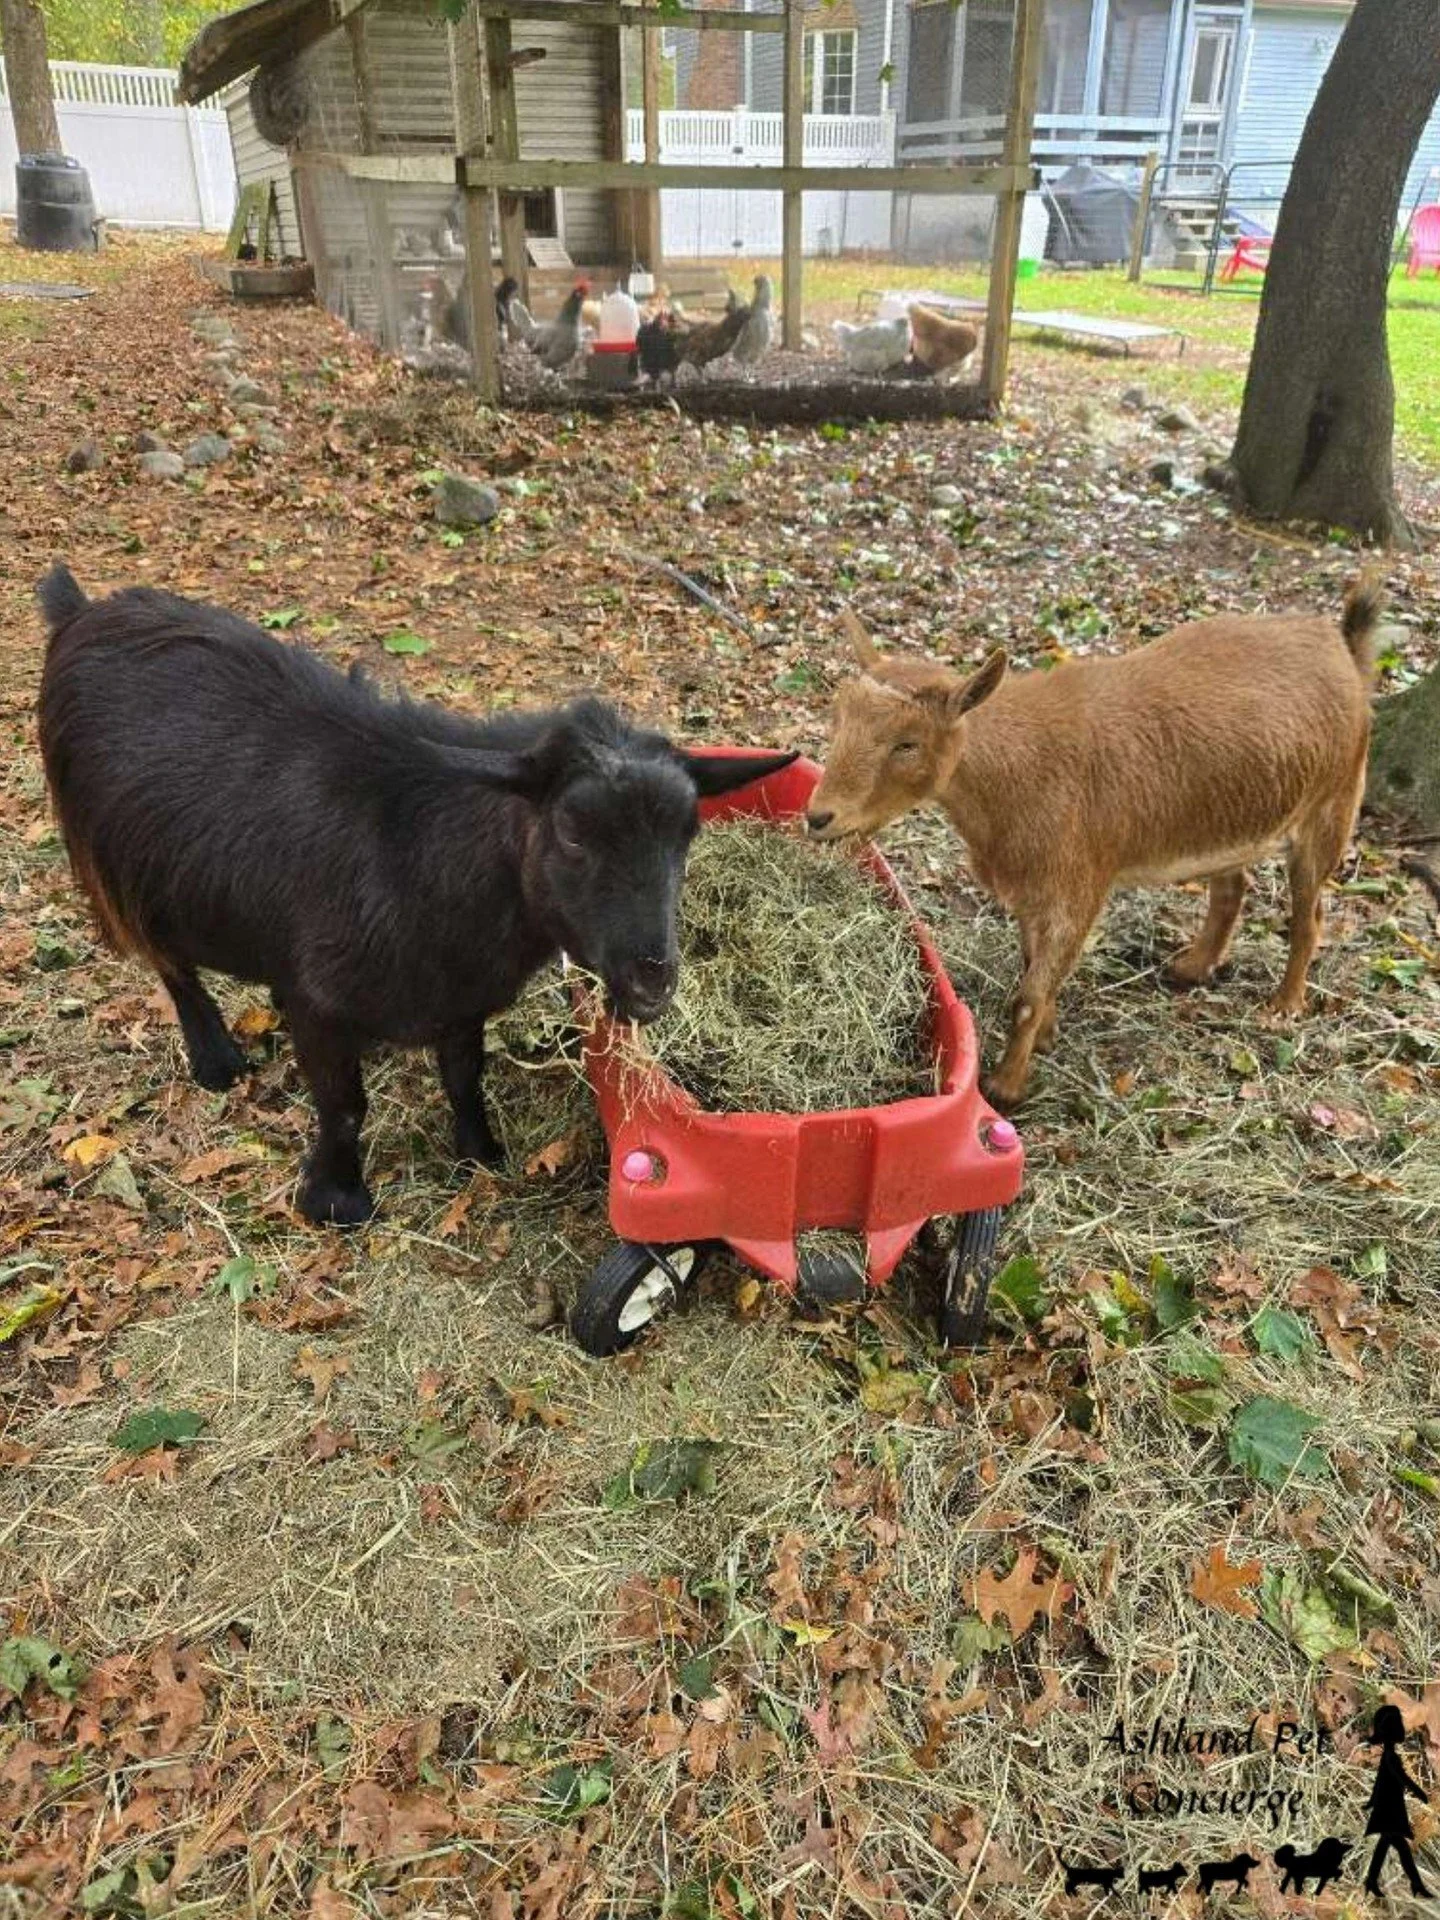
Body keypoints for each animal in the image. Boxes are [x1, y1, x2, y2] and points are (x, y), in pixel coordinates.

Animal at [37, 567, 794, 1225]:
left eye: (687, 833)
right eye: (573, 833)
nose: (651, 982)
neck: (422, 854)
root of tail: (82, 608)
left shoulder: (457, 997)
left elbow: (464, 1076)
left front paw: (480, 1155)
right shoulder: (320, 1003)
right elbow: (344, 1106)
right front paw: (338, 1200)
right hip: (112, 866)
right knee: (170, 964)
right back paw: (216, 1060)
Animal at [806, 581, 1380, 1109]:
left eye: (908, 743)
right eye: (838, 719)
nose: (819, 816)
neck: (1019, 773)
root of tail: (1341, 646)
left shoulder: (1077, 886)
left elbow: (1028, 995)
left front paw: (1006, 1087)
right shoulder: (1031, 889)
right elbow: (1031, 964)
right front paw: (1048, 1035)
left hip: (1332, 807)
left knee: (1309, 915)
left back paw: (1284, 1005)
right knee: (1232, 886)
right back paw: (1192, 968)